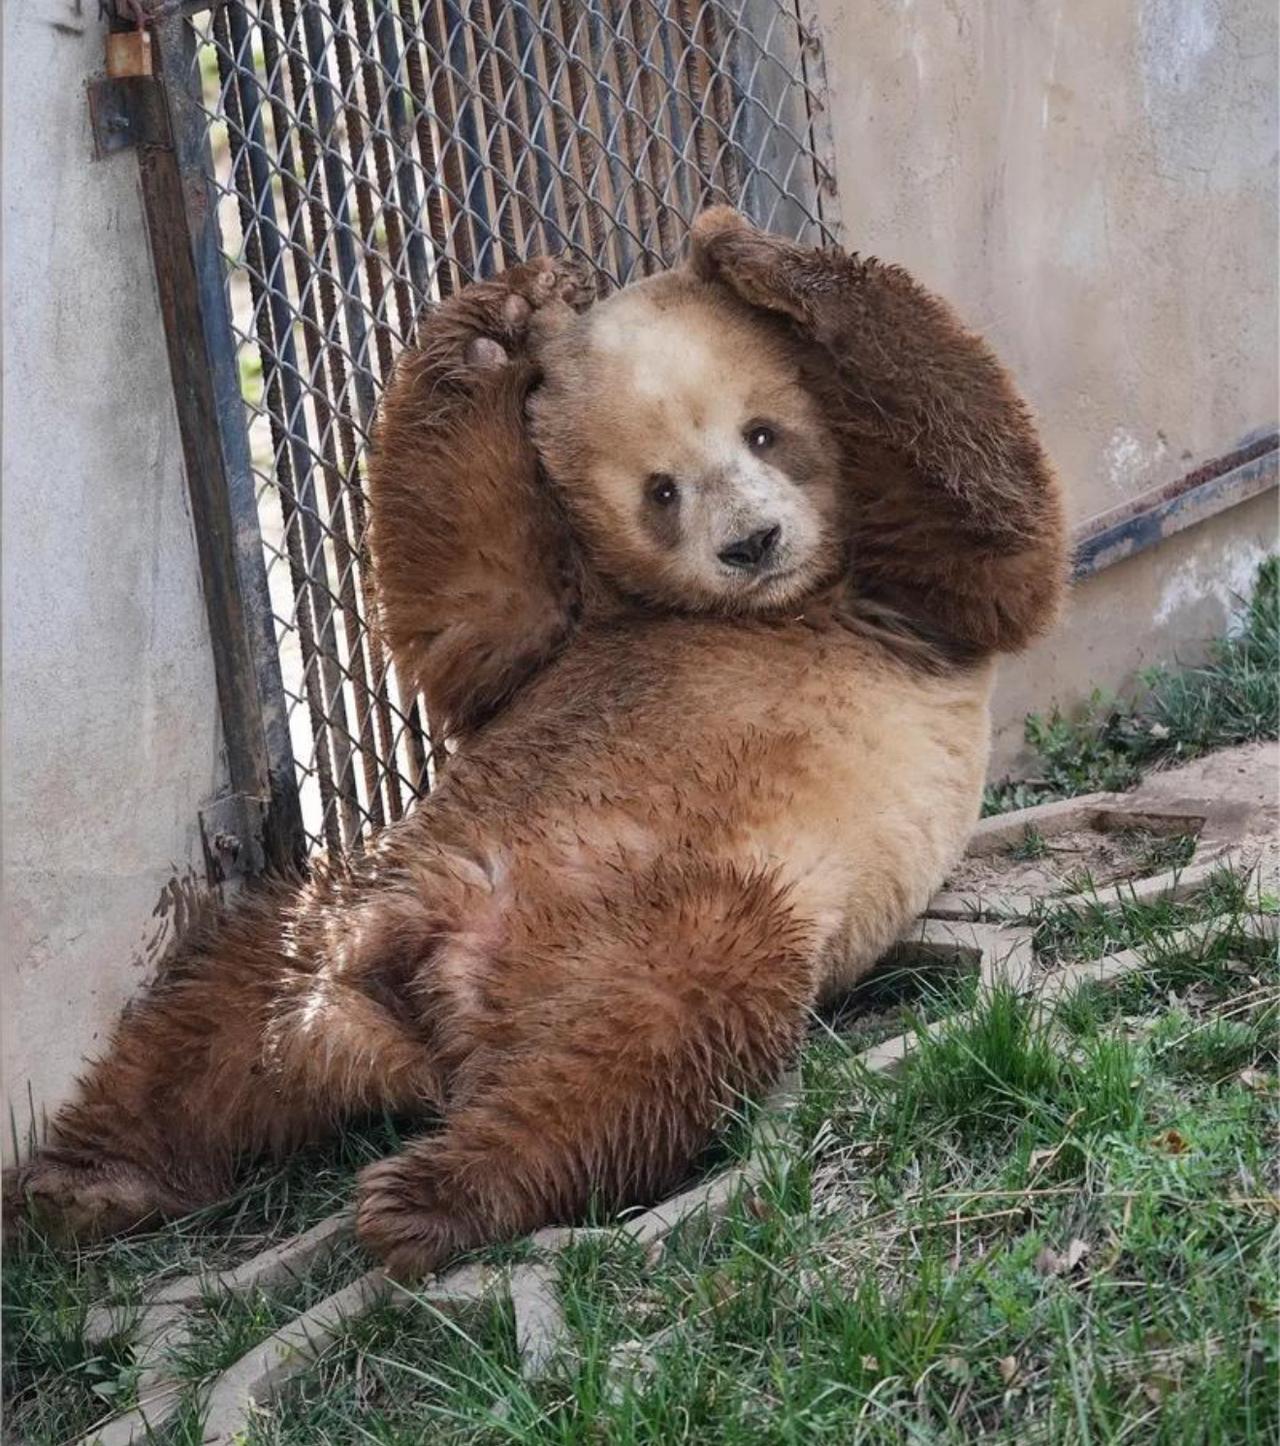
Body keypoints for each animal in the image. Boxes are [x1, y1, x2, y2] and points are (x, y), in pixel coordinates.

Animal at [4, 210, 1066, 1278]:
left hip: (670, 912)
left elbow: (994, 526)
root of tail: (420, 1002)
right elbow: (474, 607)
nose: (753, 544)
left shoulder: (904, 610)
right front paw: (504, 318)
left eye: (765, 431)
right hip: (376, 883)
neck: (772, 607)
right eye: (661, 490)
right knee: (210, 1022)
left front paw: (746, 254)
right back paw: (95, 1183)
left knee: (638, 1040)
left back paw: (425, 1194)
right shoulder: (564, 634)